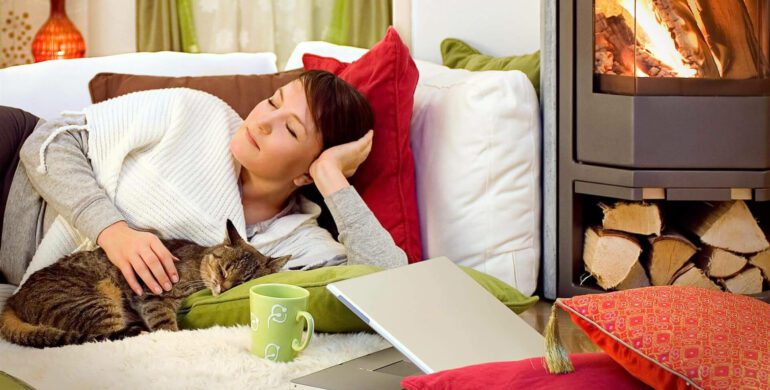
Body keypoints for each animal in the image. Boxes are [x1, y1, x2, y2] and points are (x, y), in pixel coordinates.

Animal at [0, 219, 288, 348]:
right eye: (223, 270)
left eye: (243, 283)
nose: (223, 288)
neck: (198, 265)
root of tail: (13, 299)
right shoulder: (152, 294)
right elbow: (165, 324)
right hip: (96, 303)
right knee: (105, 338)